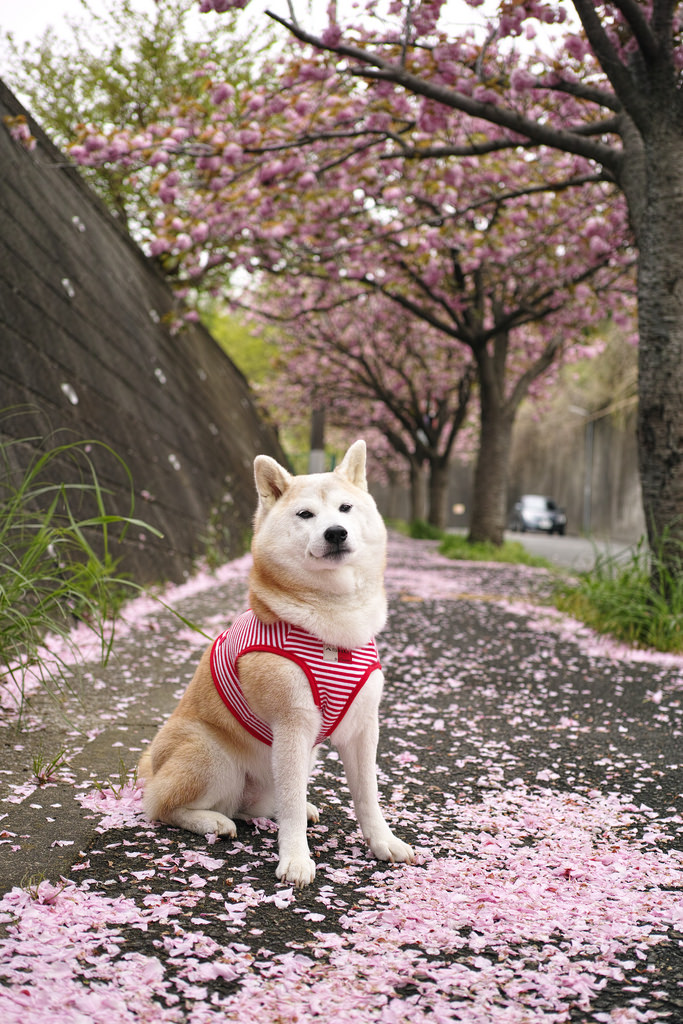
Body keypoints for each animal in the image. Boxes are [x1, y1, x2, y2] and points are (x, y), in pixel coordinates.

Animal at [140, 440, 411, 888]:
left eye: (346, 508)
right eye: (305, 515)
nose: (336, 532)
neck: (333, 630)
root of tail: (152, 765)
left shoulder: (362, 726)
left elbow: (368, 796)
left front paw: (383, 841)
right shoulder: (292, 724)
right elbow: (293, 808)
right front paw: (296, 860)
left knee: (261, 804)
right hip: (212, 756)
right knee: (161, 806)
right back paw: (212, 821)